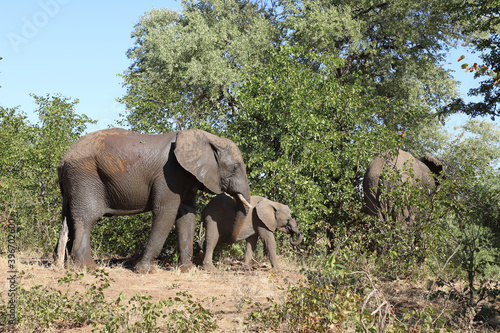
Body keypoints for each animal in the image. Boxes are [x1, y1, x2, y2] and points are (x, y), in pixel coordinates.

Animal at [52, 127, 252, 272]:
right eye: (235, 167)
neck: (207, 138)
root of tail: (63, 160)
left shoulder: (186, 177)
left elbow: (186, 215)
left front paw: (187, 270)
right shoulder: (169, 175)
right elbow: (166, 213)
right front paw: (144, 271)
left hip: (73, 183)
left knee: (68, 218)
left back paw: (63, 265)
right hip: (84, 176)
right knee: (87, 218)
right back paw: (88, 268)